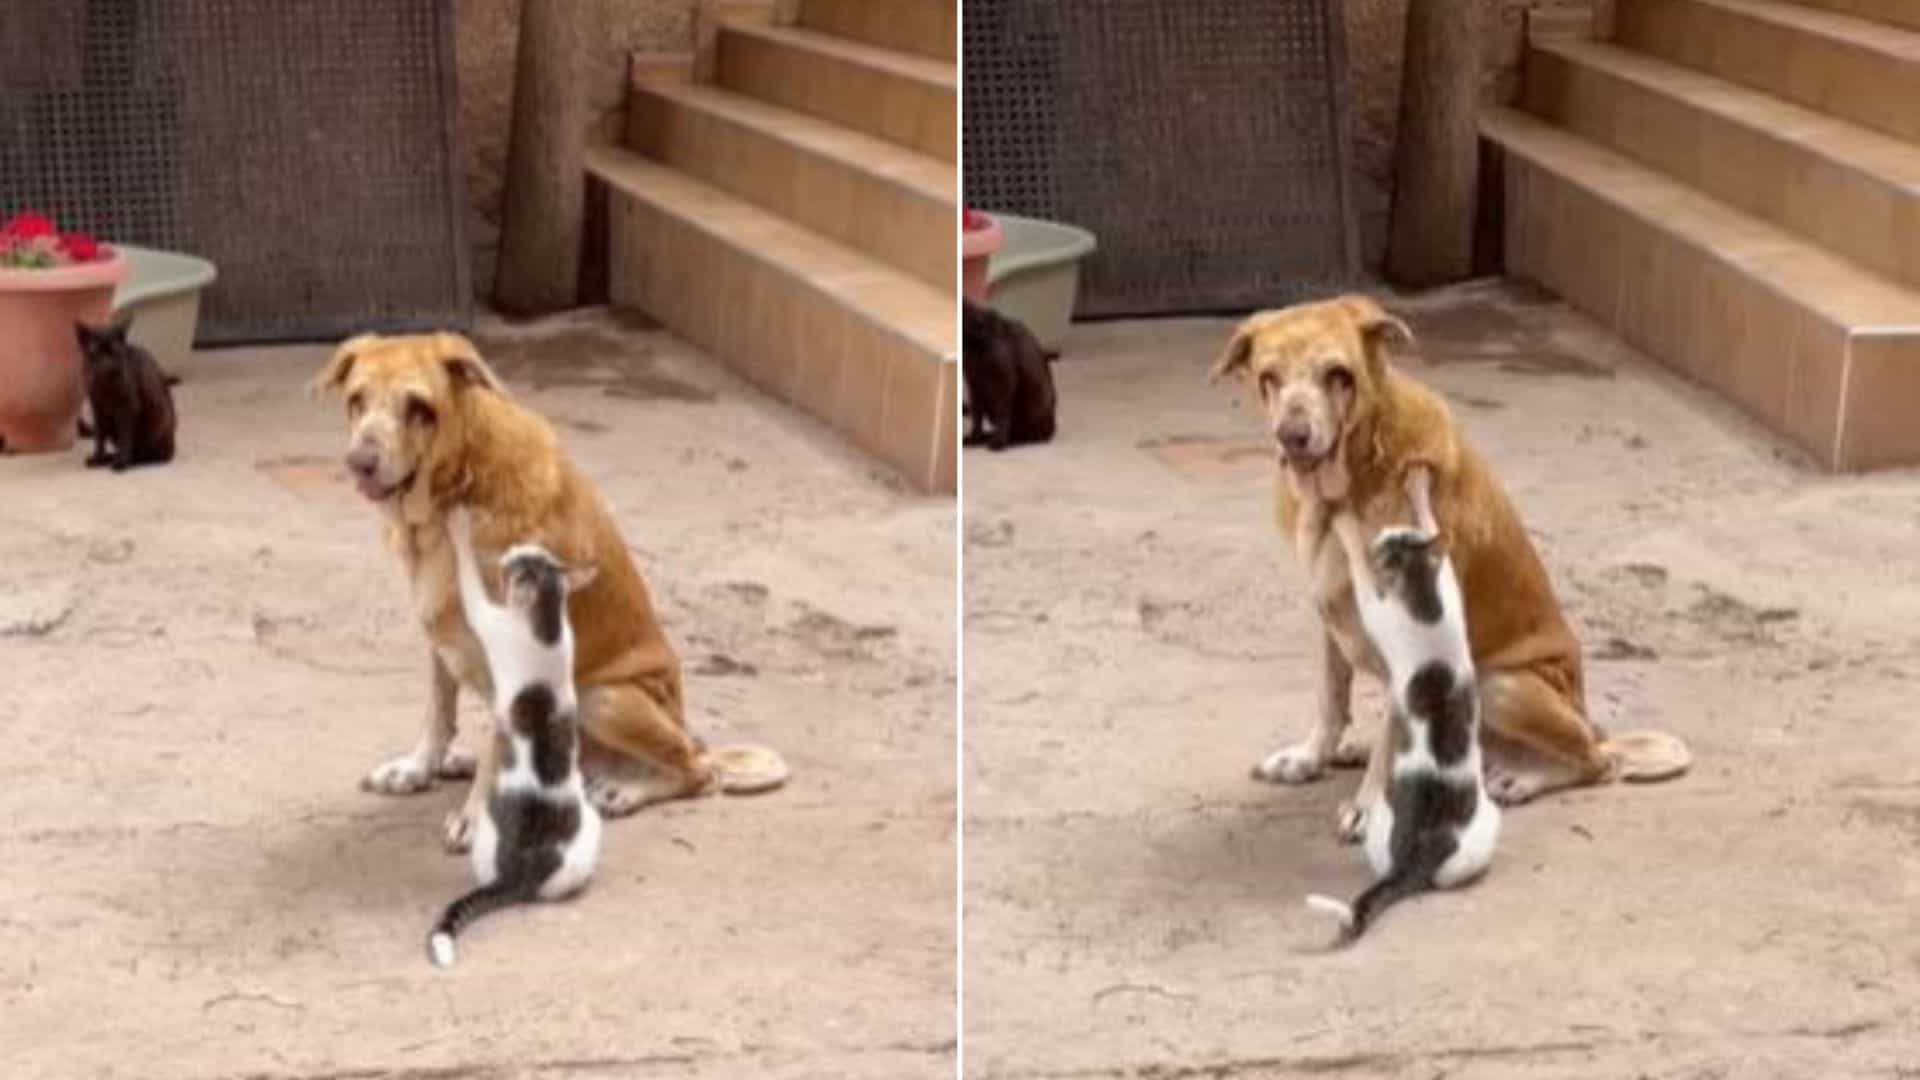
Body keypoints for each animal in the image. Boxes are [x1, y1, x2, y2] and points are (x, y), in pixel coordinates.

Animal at [76, 319, 178, 470]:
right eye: (94, 351)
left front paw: (121, 462)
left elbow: (125, 437)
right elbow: (99, 438)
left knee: (147, 454)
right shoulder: (98, 410)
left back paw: (124, 460)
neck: (104, 386)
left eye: (114, 351)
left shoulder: (127, 409)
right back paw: (108, 458)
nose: (105, 364)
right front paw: (98, 458)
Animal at [311, 332, 783, 845]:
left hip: (603, 699)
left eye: (418, 406)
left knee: (698, 770)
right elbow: (439, 710)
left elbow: (490, 741)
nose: (360, 463)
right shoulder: (439, 633)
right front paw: (418, 768)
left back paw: (626, 790)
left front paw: (476, 817)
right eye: (356, 400)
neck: (455, 489)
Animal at [432, 503, 602, 968]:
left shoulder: (489, 619)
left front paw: (459, 527)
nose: (512, 551)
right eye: (531, 553)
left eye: (518, 565)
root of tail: (521, 874)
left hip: (487, 838)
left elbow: (469, 579)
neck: (546, 624)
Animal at [1205, 295, 1689, 841]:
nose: (1293, 437)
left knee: (1596, 761)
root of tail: (1590, 718)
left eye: (1338, 375)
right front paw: (1309, 759)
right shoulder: (1328, 616)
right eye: (1269, 377)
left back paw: (1524, 778)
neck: (1348, 486)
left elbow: (1384, 738)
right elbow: (1330, 701)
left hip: (1500, 684)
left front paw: (1369, 806)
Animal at [1305, 484, 1497, 937]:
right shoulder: (1449, 589)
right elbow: (1435, 528)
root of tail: (1413, 858)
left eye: (1393, 541)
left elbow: (1358, 564)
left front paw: (1347, 522)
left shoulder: (1377, 606)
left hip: (1384, 823)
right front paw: (1419, 489)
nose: (1385, 531)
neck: (1424, 600)